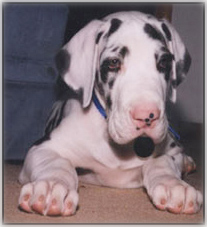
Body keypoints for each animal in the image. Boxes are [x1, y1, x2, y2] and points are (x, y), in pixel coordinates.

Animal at [17, 11, 202, 216]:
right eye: (114, 63)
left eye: (163, 62)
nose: (147, 115)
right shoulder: (42, 147)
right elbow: (57, 163)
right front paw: (52, 186)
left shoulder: (172, 150)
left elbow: (162, 161)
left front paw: (174, 185)